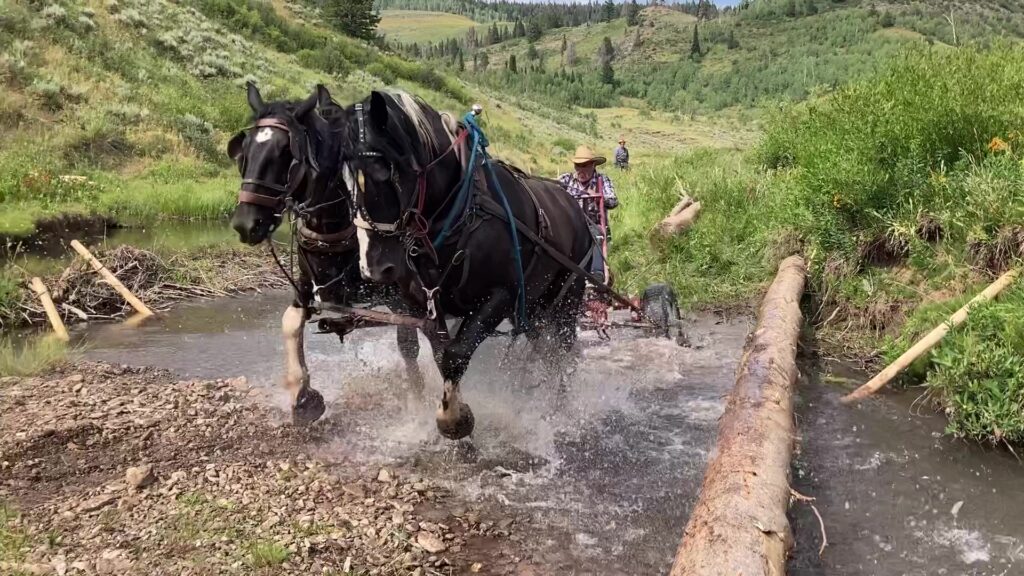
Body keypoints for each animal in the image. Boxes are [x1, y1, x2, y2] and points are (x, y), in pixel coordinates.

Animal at [227, 83, 423, 424]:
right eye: (245, 150)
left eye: (286, 153)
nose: (246, 223)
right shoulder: (306, 288)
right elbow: (290, 324)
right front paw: (303, 396)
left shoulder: (402, 298)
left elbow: (409, 344)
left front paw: (419, 404)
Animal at [323, 88, 598, 438]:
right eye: (341, 181)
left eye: (385, 172)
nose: (374, 268)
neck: (461, 215)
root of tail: (575, 206)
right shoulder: (422, 304)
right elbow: (442, 356)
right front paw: (454, 408)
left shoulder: (501, 296)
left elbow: (456, 354)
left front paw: (453, 419)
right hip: (536, 307)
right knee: (544, 349)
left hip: (567, 299)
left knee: (562, 353)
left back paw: (558, 410)